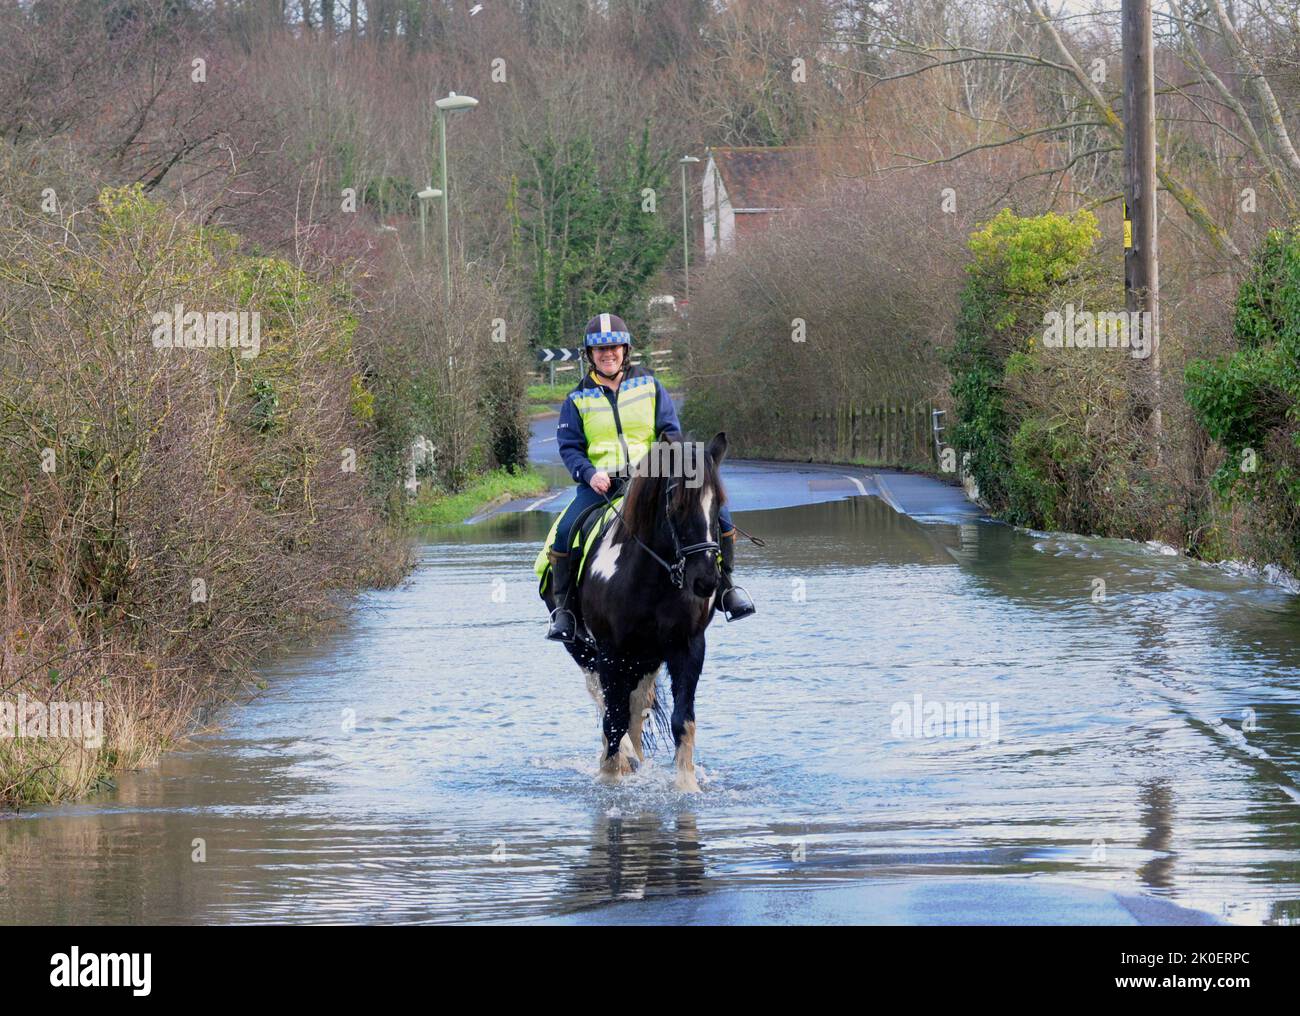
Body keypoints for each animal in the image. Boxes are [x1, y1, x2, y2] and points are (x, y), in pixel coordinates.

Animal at [540, 433, 733, 789]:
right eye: (677, 505)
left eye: (718, 504)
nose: (705, 581)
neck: (651, 577)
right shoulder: (611, 651)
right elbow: (612, 719)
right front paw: (610, 777)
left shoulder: (688, 646)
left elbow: (682, 720)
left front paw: (687, 785)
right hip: (584, 649)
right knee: (605, 700)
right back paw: (624, 758)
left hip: (646, 657)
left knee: (636, 706)